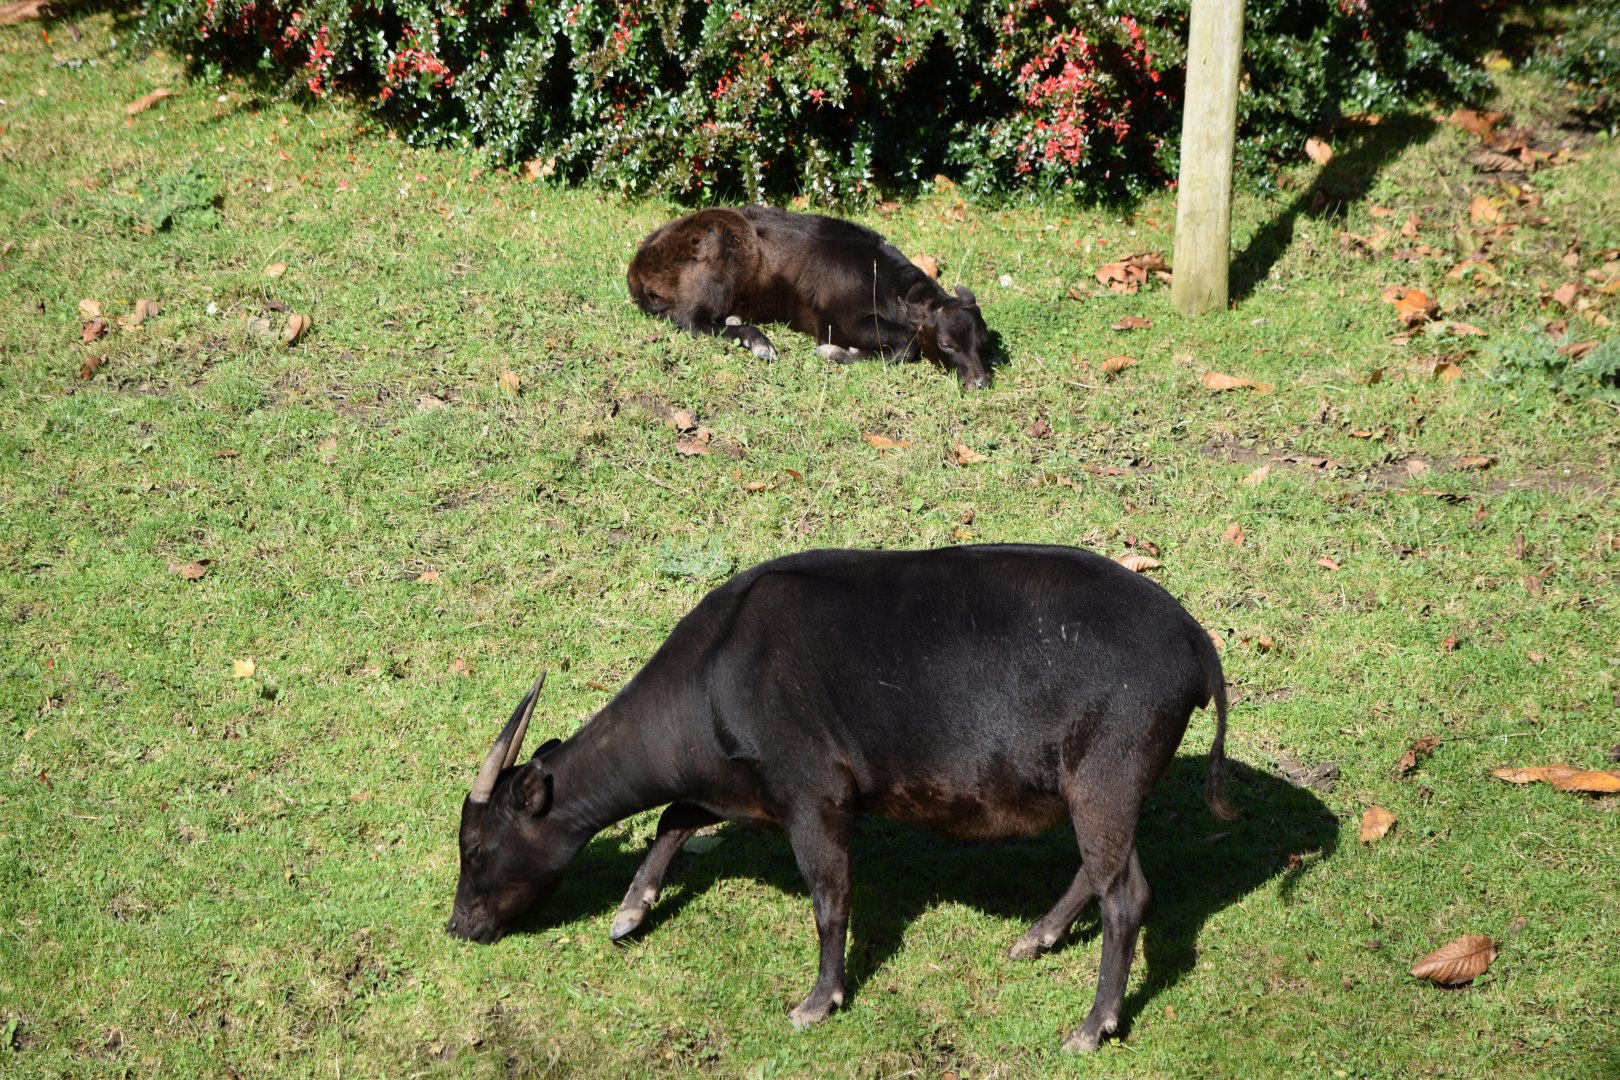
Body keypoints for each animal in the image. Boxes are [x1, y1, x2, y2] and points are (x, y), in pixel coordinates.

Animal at [448, 544, 1233, 1053]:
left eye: (475, 846)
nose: (458, 925)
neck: (716, 675)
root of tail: (1195, 643)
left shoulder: (812, 796)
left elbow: (830, 897)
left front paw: (818, 1001)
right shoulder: (745, 786)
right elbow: (676, 814)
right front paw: (630, 912)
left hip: (1106, 776)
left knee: (1126, 894)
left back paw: (1091, 1026)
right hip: (1097, 789)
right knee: (1103, 872)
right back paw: (1036, 937)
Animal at [626, 207, 994, 389]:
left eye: (983, 340)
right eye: (946, 345)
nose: (981, 382)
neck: (884, 281)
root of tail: (639, 260)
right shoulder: (837, 322)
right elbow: (908, 343)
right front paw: (837, 354)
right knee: (690, 320)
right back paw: (757, 341)